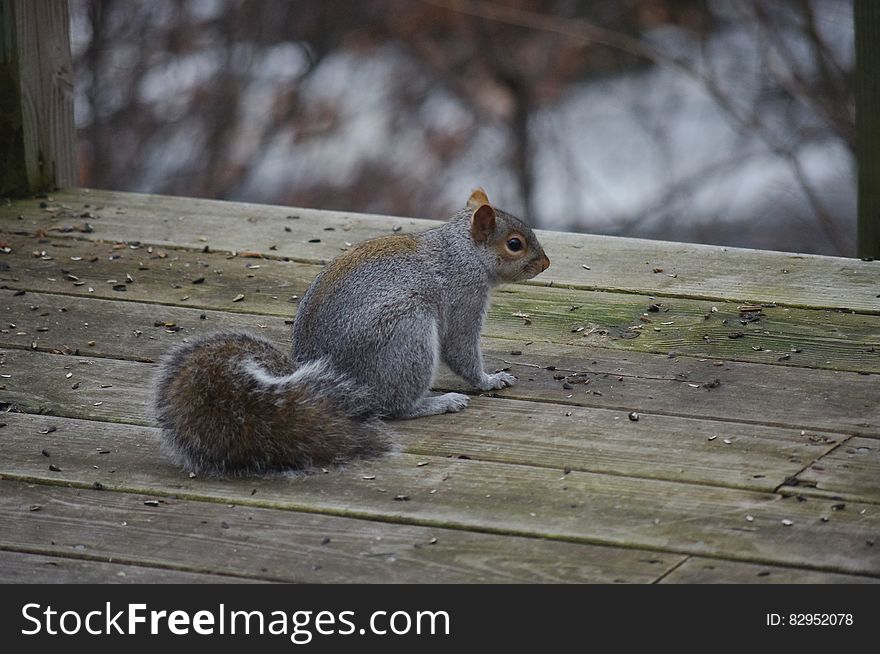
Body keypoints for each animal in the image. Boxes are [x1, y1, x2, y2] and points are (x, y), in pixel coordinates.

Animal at [152, 190, 552, 476]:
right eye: (514, 244)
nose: (546, 263)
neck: (462, 251)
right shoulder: (464, 297)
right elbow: (461, 348)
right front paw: (490, 380)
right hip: (407, 334)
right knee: (394, 406)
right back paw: (439, 403)